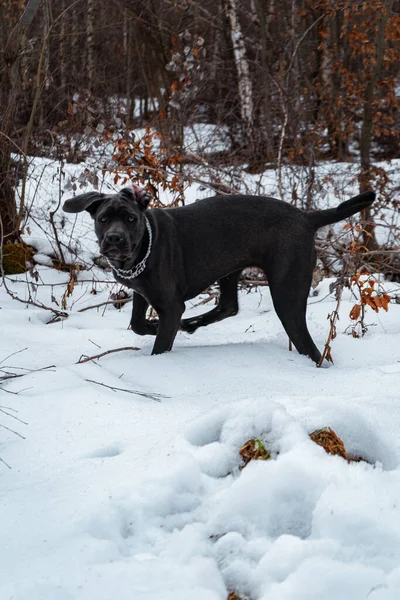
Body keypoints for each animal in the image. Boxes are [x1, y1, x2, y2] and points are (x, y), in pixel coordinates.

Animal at [62, 188, 376, 360]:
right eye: (104, 218)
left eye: (130, 218)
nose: (114, 239)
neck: (141, 251)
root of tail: (307, 217)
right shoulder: (143, 293)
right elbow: (138, 324)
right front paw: (159, 327)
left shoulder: (171, 305)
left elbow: (161, 342)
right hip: (230, 268)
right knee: (229, 306)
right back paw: (192, 323)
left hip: (287, 291)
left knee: (307, 345)